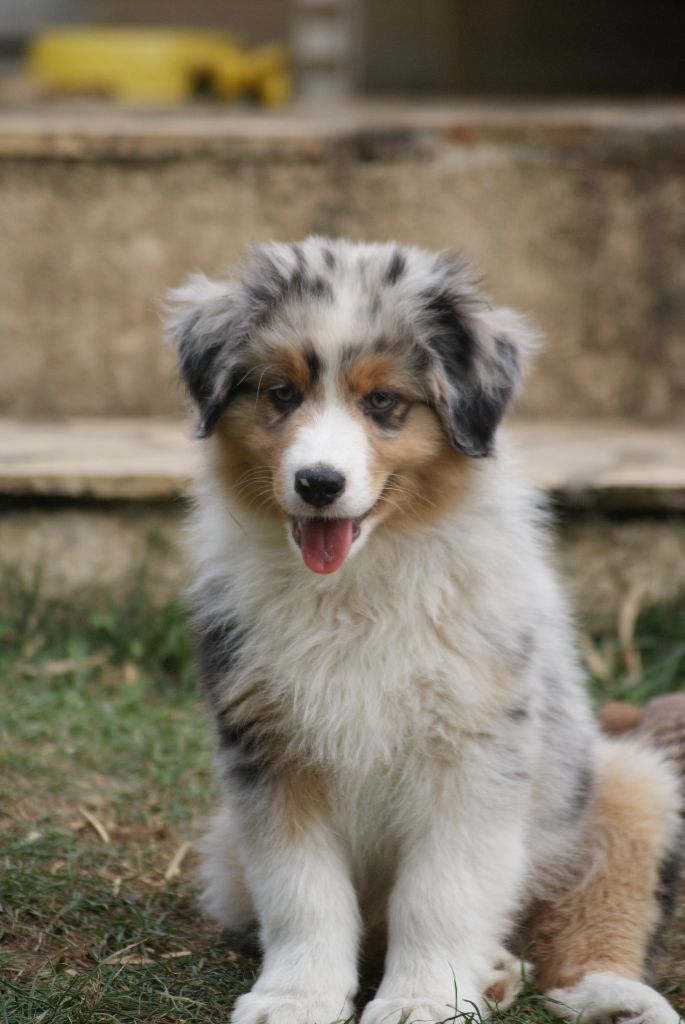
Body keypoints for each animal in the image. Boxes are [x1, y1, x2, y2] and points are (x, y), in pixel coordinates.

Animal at [167, 237, 682, 1024]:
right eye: (280, 394)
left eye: (383, 403)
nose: (318, 483)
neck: (358, 583)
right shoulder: (269, 752)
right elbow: (302, 893)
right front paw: (295, 997)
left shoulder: (473, 754)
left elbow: (440, 894)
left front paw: (420, 1000)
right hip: (226, 849)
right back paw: (494, 972)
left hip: (623, 788)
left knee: (597, 918)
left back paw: (609, 994)